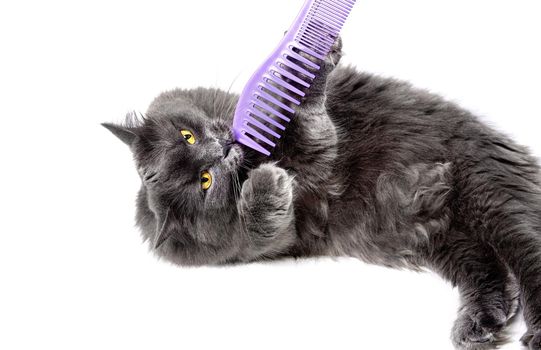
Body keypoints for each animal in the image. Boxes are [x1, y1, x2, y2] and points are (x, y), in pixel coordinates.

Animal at [102, 39, 540, 348]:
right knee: (497, 268)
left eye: (187, 136)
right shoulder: (282, 221)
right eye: (205, 181)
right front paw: (267, 182)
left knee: (517, 257)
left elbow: (298, 110)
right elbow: (283, 183)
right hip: (450, 233)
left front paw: (304, 62)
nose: (221, 149)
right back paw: (486, 325)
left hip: (483, 189)